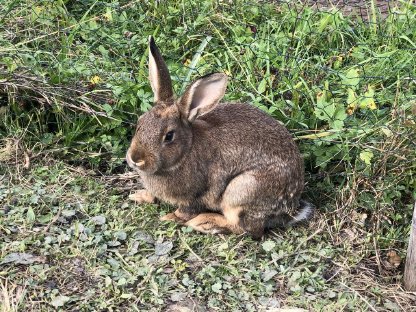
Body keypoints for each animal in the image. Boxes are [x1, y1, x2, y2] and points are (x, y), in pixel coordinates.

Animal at [125, 35, 314, 238]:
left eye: (169, 136)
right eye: (140, 123)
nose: (136, 158)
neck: (185, 151)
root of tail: (290, 208)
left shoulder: (195, 196)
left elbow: (185, 211)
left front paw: (170, 217)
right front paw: (139, 195)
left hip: (242, 190)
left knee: (248, 229)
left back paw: (205, 222)